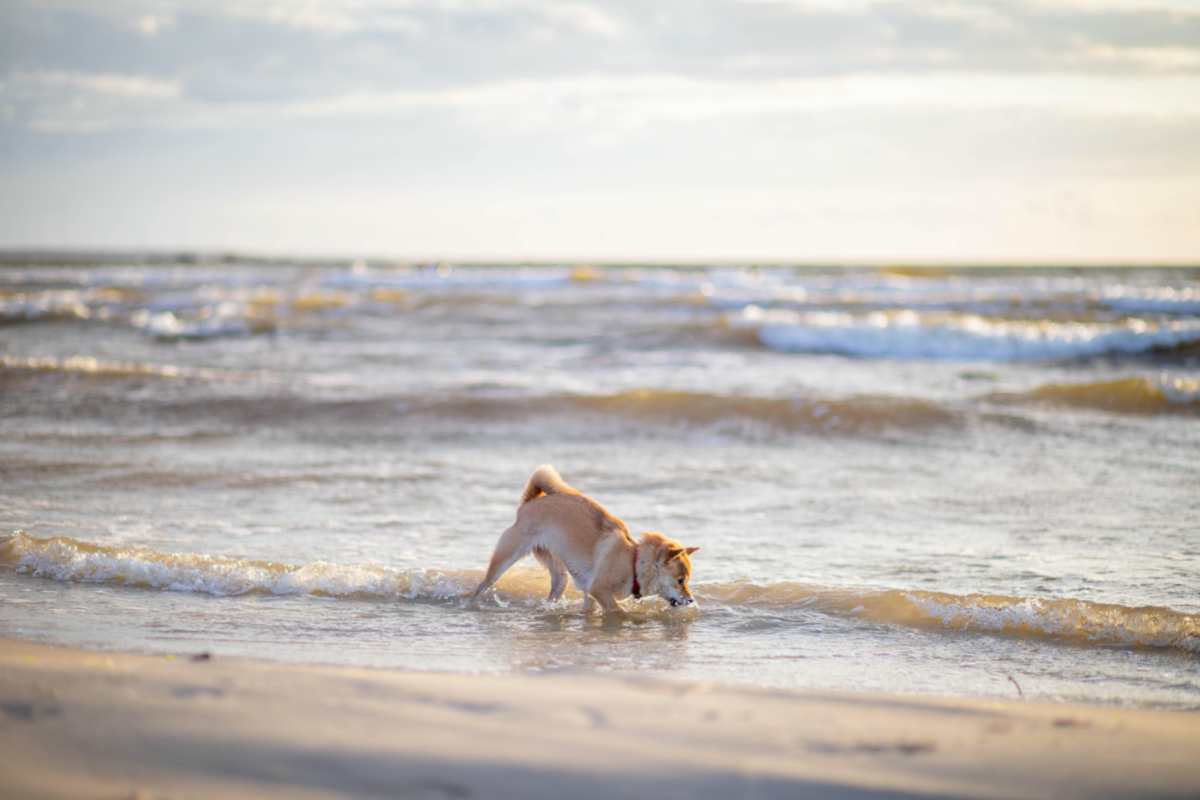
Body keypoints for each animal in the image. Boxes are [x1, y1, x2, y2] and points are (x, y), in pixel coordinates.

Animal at [468, 465, 696, 618]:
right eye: (680, 580)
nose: (691, 600)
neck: (633, 561)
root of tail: (529, 503)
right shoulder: (599, 590)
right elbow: (617, 610)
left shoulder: (590, 594)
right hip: (505, 559)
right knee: (483, 584)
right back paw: (471, 602)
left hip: (559, 575)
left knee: (554, 589)